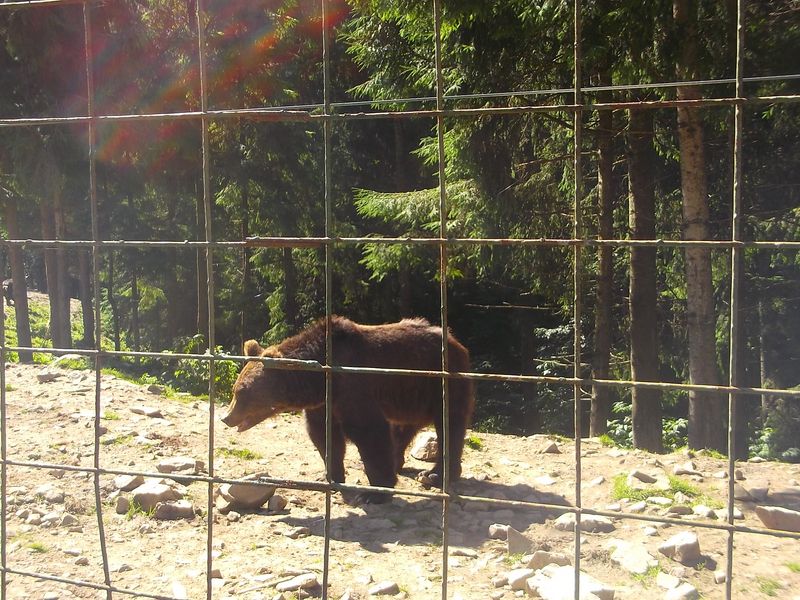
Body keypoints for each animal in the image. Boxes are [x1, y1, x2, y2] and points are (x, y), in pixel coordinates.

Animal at [221, 316, 475, 503]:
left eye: (242, 392)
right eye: (236, 389)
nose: (226, 417)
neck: (318, 382)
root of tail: (455, 341)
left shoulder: (353, 388)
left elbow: (368, 432)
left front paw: (375, 492)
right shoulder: (323, 404)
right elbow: (325, 437)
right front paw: (331, 477)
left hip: (438, 384)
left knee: (449, 425)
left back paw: (434, 474)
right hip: (409, 396)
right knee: (403, 428)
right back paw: (399, 463)